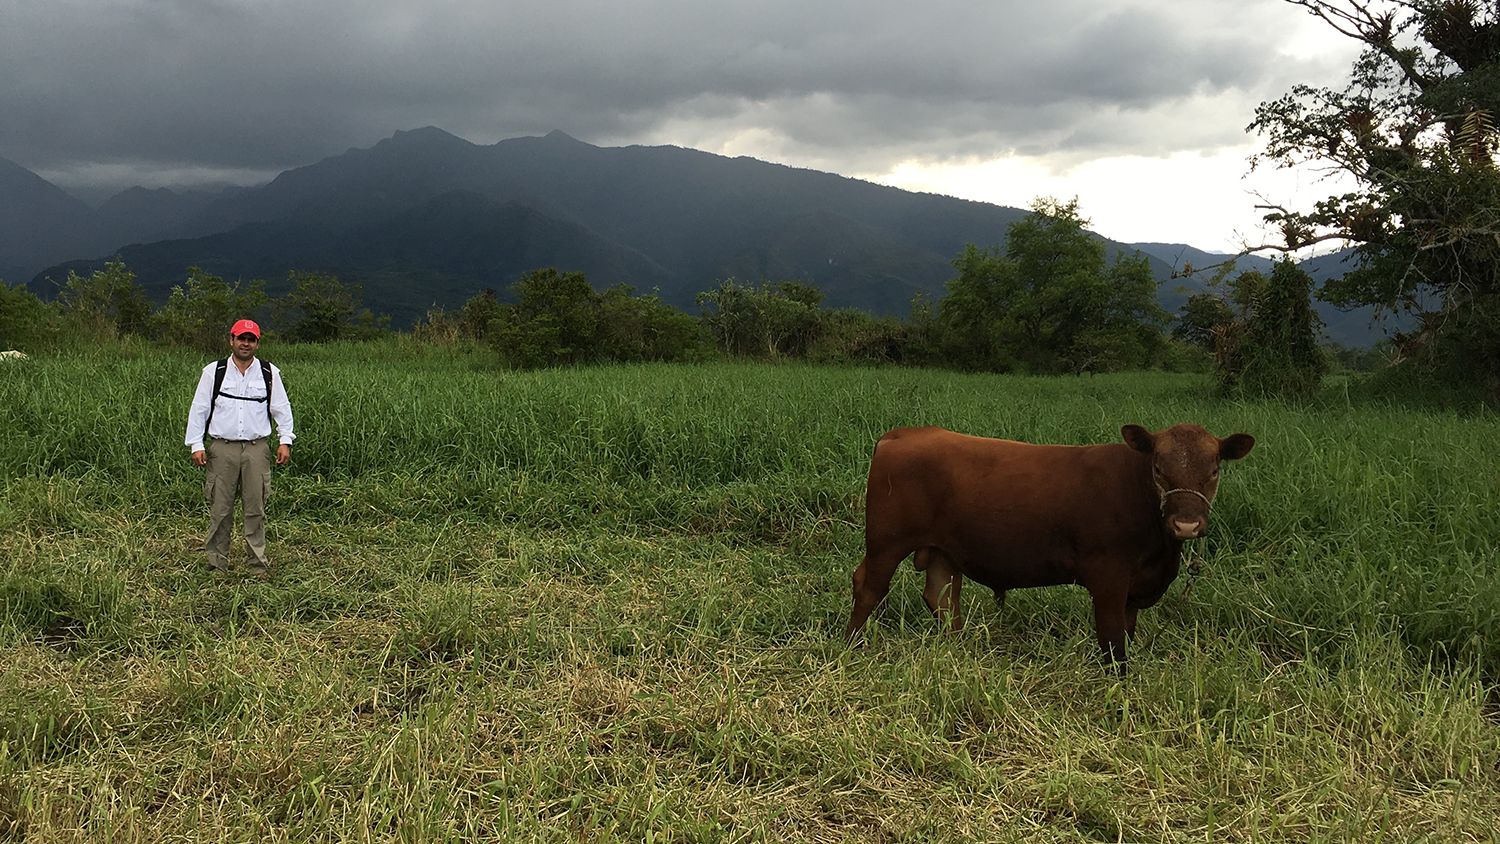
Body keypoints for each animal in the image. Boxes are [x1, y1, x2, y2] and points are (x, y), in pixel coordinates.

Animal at [846, 422, 1254, 674]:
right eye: (1158, 467)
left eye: (1214, 469)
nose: (1186, 524)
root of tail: (903, 434)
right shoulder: (1108, 578)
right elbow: (1112, 642)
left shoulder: (1134, 588)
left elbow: (1127, 633)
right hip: (886, 542)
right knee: (868, 587)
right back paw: (852, 646)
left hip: (942, 551)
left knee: (942, 597)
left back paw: (958, 649)